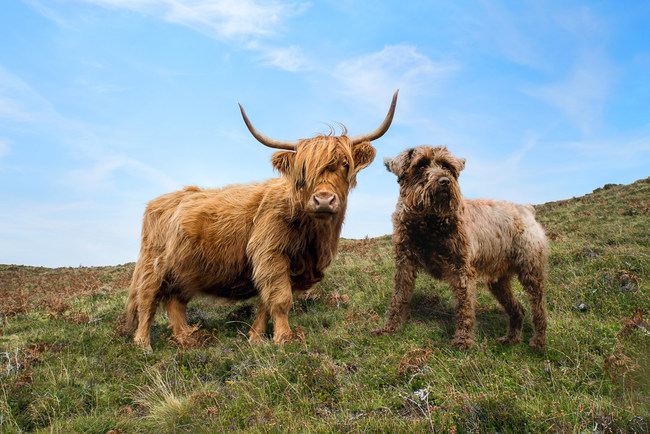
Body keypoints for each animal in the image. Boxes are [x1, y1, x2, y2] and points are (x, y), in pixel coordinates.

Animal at [125, 90, 400, 350]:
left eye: (345, 164)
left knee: (175, 302)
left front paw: (256, 338)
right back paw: (143, 344)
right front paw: (284, 338)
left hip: (184, 271)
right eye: (302, 171)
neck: (315, 237)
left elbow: (266, 302)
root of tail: (159, 201)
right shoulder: (270, 253)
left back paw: (187, 340)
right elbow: (280, 299)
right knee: (147, 299)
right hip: (153, 264)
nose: (323, 200)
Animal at [370, 145, 548, 350]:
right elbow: (398, 299)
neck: (428, 221)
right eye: (421, 166)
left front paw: (463, 340)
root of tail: (527, 210)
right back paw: (511, 338)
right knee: (518, 309)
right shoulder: (405, 265)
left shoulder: (460, 269)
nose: (444, 181)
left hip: (530, 273)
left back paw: (538, 342)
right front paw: (388, 328)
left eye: (447, 166)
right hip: (498, 282)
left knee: (539, 309)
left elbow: (464, 307)